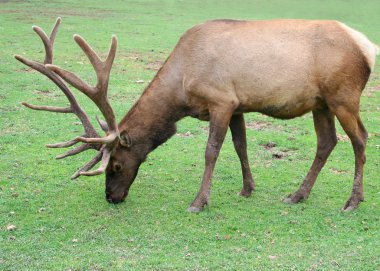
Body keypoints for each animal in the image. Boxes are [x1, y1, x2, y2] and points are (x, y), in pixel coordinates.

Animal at [15, 17, 378, 212]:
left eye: (115, 164)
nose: (111, 197)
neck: (182, 90)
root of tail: (366, 46)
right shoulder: (237, 104)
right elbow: (241, 146)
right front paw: (247, 189)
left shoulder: (221, 100)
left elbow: (211, 151)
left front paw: (199, 200)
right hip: (321, 103)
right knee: (326, 142)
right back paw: (298, 195)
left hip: (343, 94)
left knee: (360, 139)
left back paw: (353, 200)